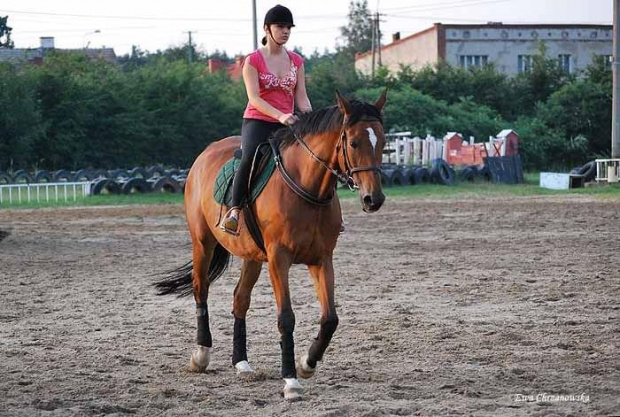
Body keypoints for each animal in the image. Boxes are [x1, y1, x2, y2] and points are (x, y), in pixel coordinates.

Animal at [155, 91, 386, 400]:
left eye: (382, 141)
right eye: (354, 142)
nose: (374, 199)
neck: (308, 189)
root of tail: (205, 154)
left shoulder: (321, 259)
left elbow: (330, 319)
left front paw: (307, 363)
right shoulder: (279, 259)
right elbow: (286, 318)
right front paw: (290, 381)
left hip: (251, 256)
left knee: (240, 299)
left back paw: (241, 363)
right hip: (203, 243)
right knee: (200, 290)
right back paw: (201, 355)